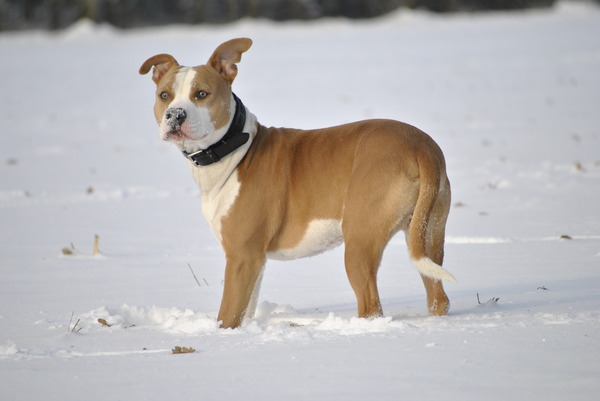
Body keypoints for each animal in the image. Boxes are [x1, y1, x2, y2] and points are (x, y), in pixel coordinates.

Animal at [141, 37, 454, 328]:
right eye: (164, 95)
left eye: (201, 94)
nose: (175, 115)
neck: (234, 147)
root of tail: (420, 147)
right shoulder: (255, 261)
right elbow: (245, 309)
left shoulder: (241, 257)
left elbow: (227, 316)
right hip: (427, 233)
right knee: (438, 296)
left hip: (359, 242)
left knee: (371, 307)